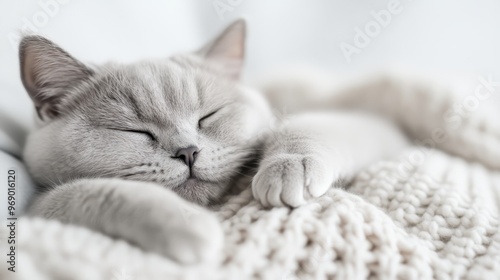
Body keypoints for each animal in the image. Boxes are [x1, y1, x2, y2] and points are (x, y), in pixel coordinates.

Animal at [21, 20, 408, 264]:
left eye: (208, 116)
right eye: (135, 132)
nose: (187, 151)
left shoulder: (373, 125)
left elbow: (307, 126)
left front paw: (287, 171)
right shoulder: (40, 207)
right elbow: (92, 192)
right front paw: (186, 224)